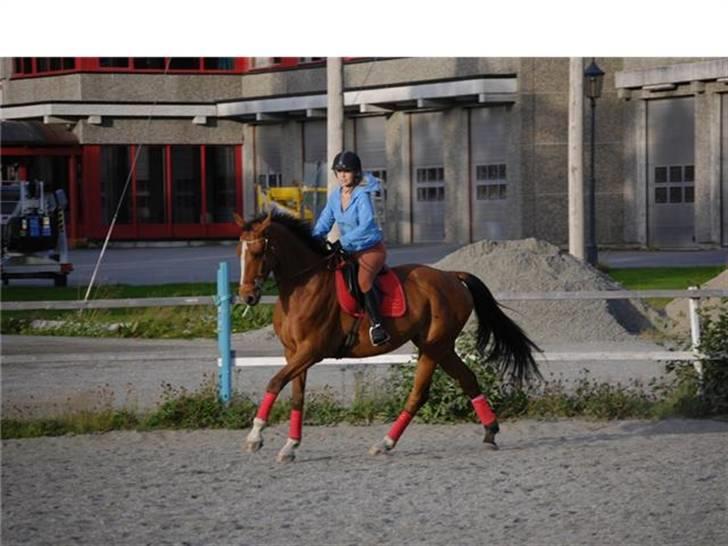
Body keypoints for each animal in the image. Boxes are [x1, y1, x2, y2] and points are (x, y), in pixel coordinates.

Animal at [233, 208, 540, 460]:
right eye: (239, 253)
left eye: (258, 252)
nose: (247, 297)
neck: (303, 286)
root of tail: (452, 276)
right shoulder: (294, 353)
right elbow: (297, 396)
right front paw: (290, 446)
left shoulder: (311, 351)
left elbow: (274, 382)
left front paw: (255, 437)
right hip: (440, 346)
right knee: (466, 379)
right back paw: (489, 432)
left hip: (433, 347)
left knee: (419, 394)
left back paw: (385, 443)